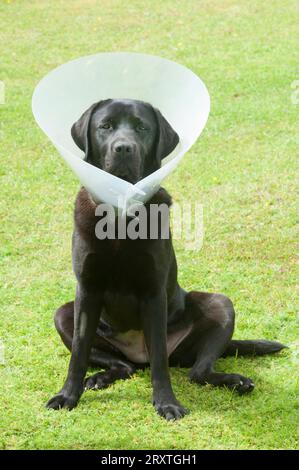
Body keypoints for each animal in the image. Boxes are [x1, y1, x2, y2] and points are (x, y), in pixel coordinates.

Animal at [46, 98, 286, 418]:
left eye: (142, 128)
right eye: (105, 126)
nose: (123, 148)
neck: (121, 215)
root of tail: (138, 356)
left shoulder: (154, 293)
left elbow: (160, 358)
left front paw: (167, 402)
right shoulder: (86, 290)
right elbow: (78, 354)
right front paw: (67, 396)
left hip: (221, 304)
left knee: (196, 371)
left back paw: (235, 381)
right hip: (63, 314)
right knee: (123, 365)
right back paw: (99, 378)